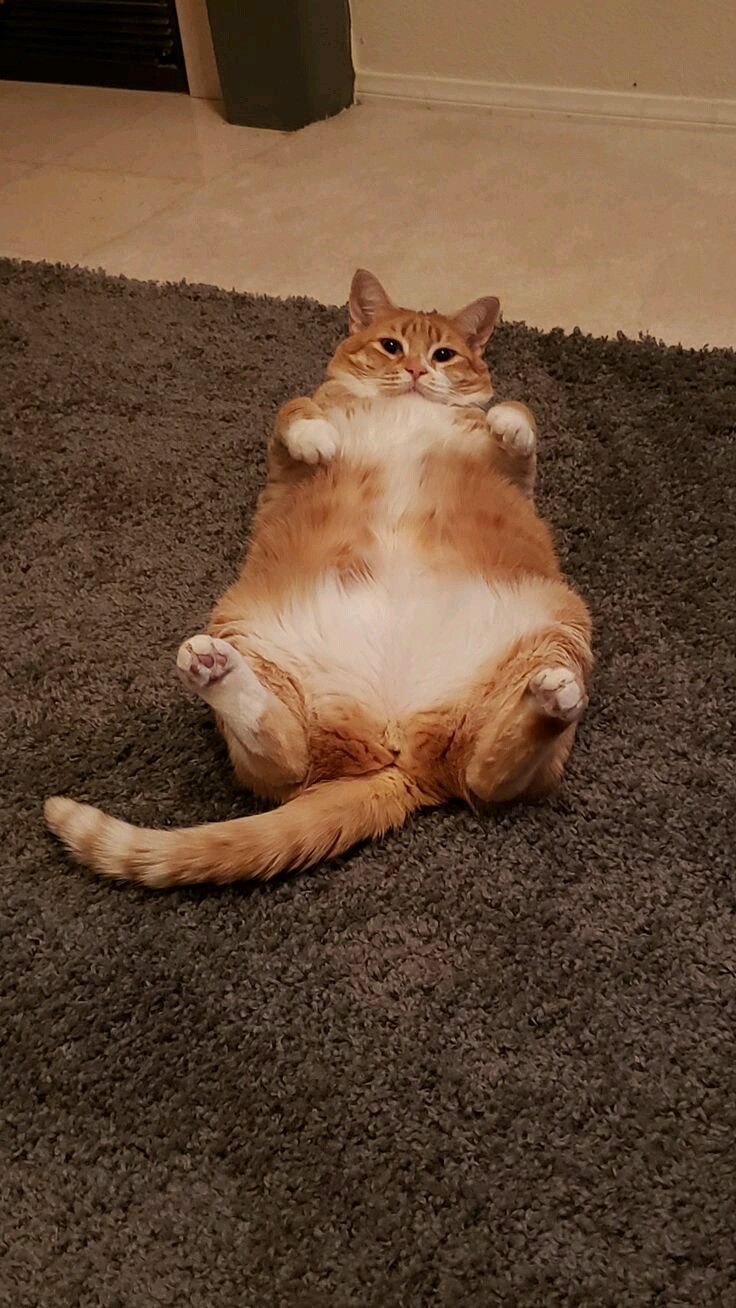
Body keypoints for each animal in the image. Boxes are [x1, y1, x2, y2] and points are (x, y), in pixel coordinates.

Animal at [44, 273, 593, 889]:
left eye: (443, 354)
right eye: (391, 346)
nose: (415, 371)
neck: (406, 411)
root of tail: (401, 759)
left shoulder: (516, 474)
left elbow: (518, 411)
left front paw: (506, 420)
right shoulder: (284, 453)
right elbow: (296, 410)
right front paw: (319, 439)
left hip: (558, 627)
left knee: (488, 776)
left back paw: (551, 698)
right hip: (252, 637)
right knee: (289, 753)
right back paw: (215, 670)